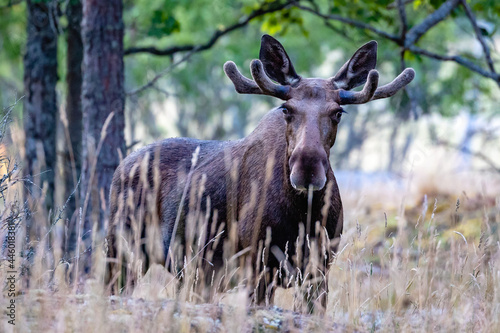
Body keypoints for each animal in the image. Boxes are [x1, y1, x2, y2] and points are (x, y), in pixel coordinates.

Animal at [106, 34, 414, 306]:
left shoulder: (319, 268)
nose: (307, 169)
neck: (303, 215)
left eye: (338, 112)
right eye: (286, 109)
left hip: (190, 271)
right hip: (123, 248)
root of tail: (122, 165)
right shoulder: (258, 266)